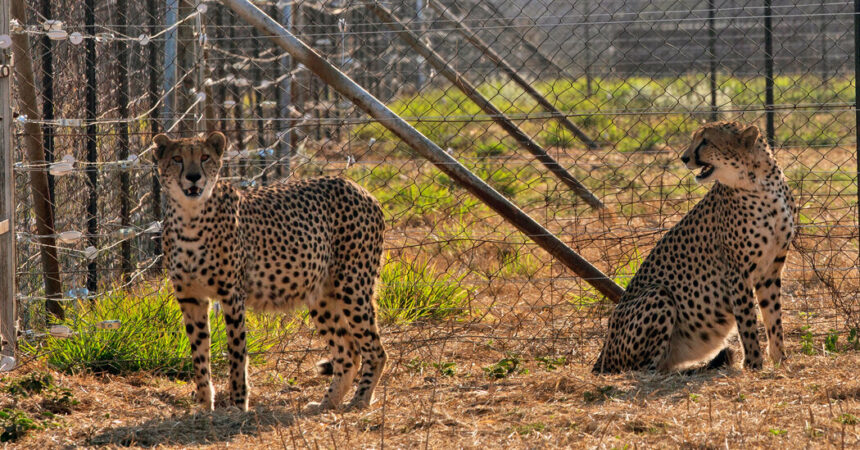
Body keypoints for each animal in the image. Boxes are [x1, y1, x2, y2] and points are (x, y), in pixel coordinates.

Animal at [154, 132, 386, 414]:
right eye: (177, 158)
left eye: (205, 157)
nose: (194, 176)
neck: (190, 216)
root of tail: (356, 186)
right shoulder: (190, 298)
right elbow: (199, 353)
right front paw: (204, 405)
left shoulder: (232, 295)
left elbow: (236, 352)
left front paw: (237, 405)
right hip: (321, 296)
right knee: (349, 352)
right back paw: (325, 404)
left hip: (352, 286)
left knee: (375, 349)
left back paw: (359, 400)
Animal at [596, 122, 796, 372]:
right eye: (695, 139)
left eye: (705, 141)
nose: (684, 158)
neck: (762, 184)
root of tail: (602, 355)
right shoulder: (737, 272)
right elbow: (747, 322)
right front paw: (753, 364)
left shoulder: (770, 269)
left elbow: (773, 317)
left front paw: (780, 360)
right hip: (658, 294)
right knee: (643, 368)